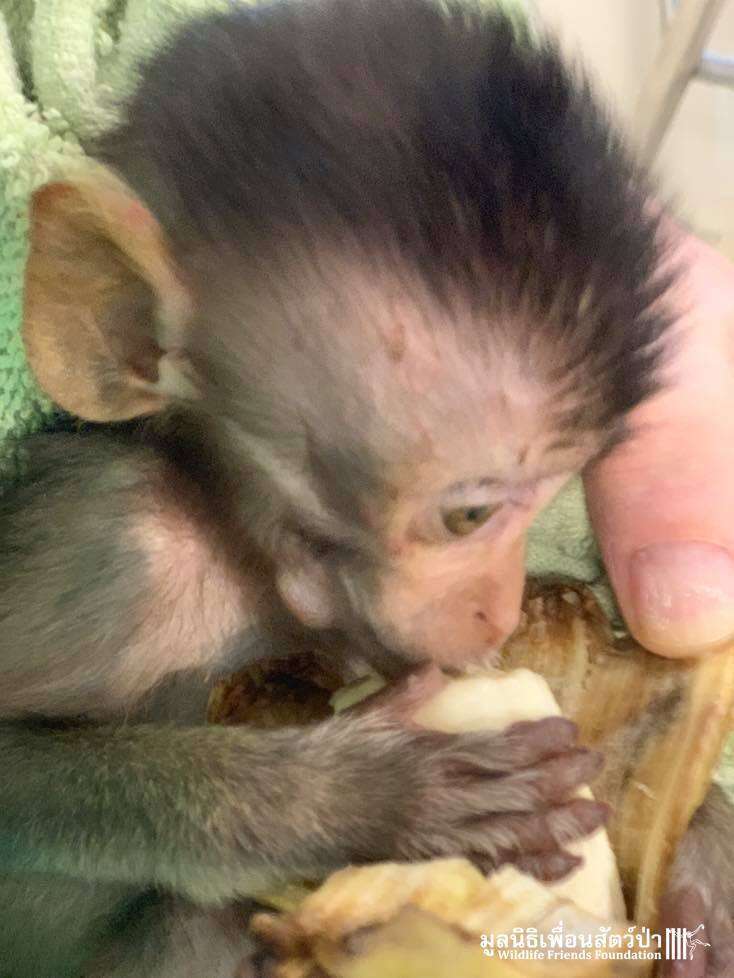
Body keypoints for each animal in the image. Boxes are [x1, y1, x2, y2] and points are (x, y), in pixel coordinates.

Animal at [0, 0, 731, 975]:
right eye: (470, 515)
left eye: (554, 494)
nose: (499, 613)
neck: (234, 549)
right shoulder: (104, 550)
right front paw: (363, 794)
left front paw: (705, 865)